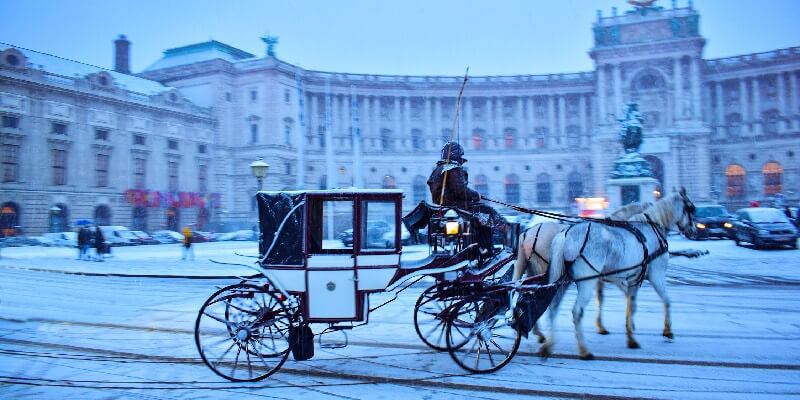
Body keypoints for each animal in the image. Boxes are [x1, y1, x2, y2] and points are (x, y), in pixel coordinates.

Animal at [544, 189, 692, 360]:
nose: (694, 231)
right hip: (586, 282)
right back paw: (584, 350)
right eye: (691, 208)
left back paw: (548, 345)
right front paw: (667, 330)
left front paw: (630, 334)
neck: (651, 230)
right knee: (577, 312)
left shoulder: (628, 280)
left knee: (553, 307)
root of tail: (566, 233)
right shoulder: (656, 275)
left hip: (563, 281)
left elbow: (629, 304)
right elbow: (666, 300)